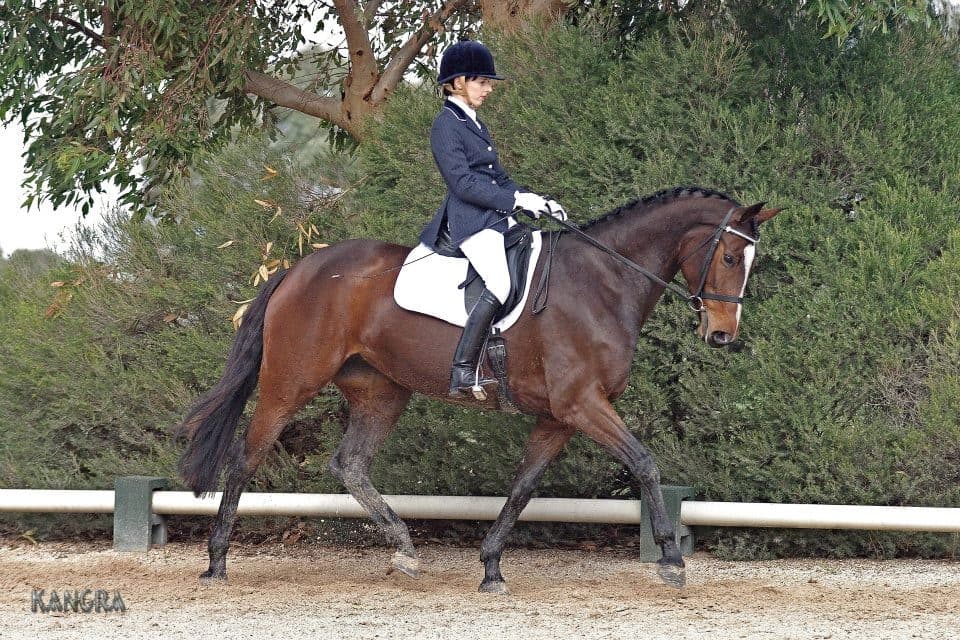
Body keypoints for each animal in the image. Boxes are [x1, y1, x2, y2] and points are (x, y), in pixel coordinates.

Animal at [176, 186, 781, 593]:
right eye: (730, 256)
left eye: (751, 261)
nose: (722, 335)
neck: (603, 284)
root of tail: (299, 268)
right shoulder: (582, 405)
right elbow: (646, 463)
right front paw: (671, 560)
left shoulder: (559, 417)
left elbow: (523, 487)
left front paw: (491, 566)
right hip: (290, 382)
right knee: (246, 456)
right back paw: (216, 561)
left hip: (382, 392)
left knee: (350, 464)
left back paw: (405, 551)